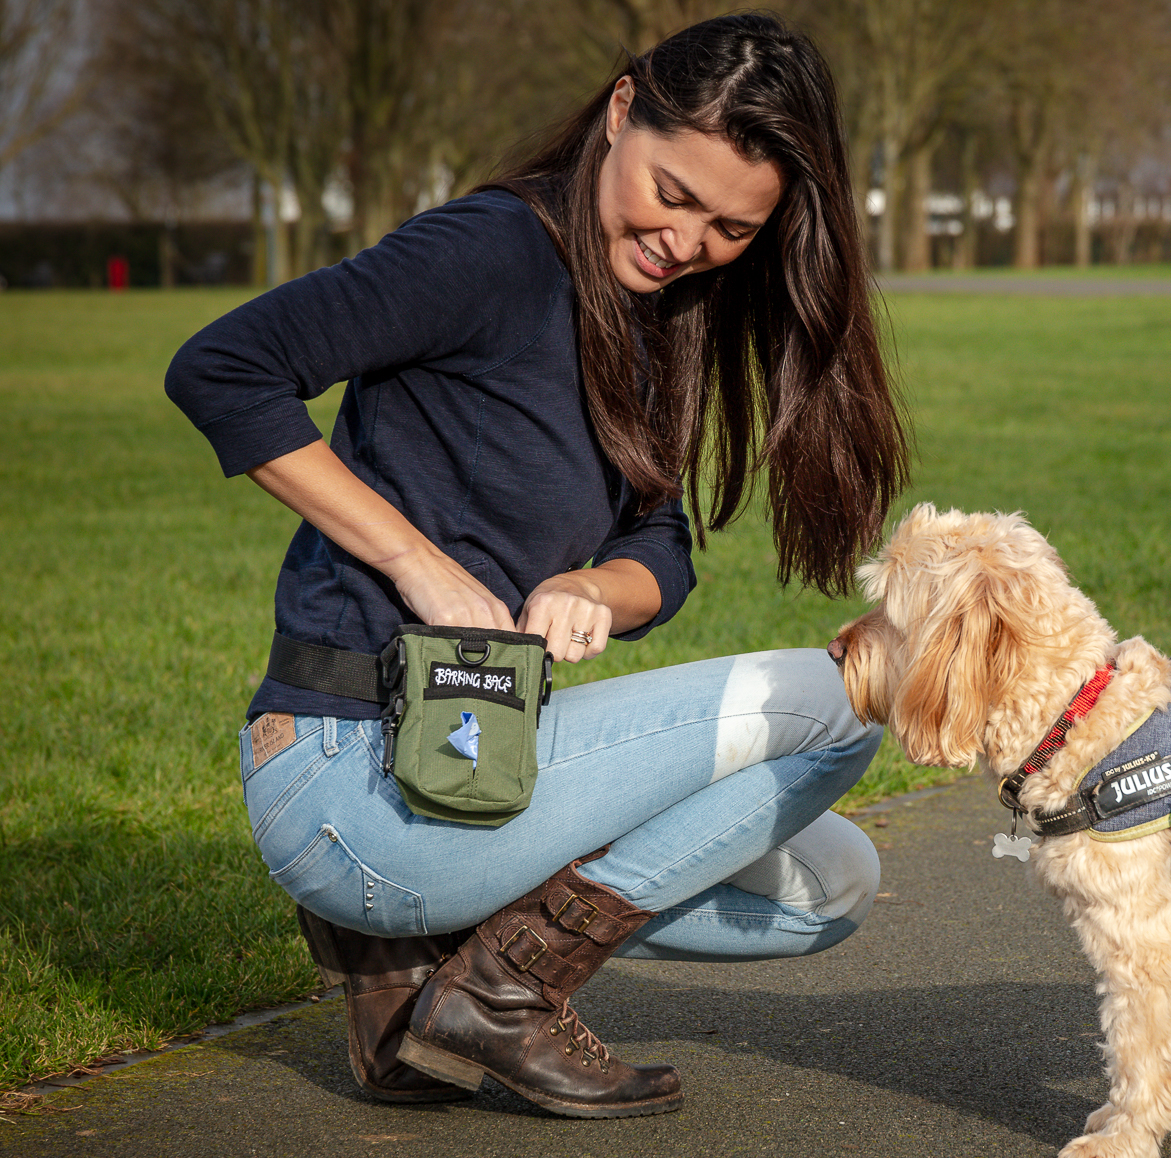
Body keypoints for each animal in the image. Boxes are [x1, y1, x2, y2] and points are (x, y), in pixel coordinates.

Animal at [829, 501, 1166, 1156]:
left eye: (889, 609)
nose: (833, 648)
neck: (1076, 720)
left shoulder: (1142, 945)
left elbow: (1138, 1053)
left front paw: (1124, 1136)